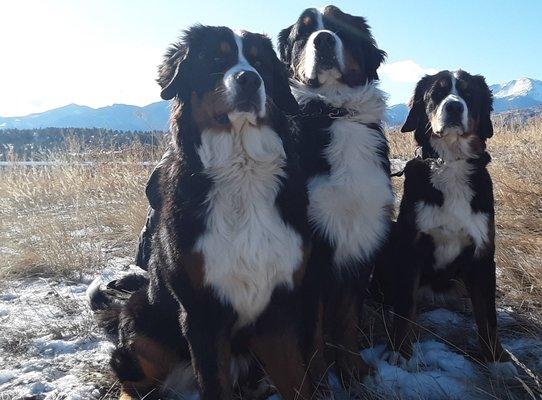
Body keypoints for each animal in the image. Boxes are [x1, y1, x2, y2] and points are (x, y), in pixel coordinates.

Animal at [90, 25, 318, 400]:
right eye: (215, 59)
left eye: (259, 62)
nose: (249, 79)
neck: (241, 170)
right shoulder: (201, 312)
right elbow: (213, 383)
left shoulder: (279, 305)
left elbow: (298, 382)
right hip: (141, 322)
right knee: (132, 383)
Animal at [278, 4, 394, 390]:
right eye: (304, 31)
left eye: (340, 26)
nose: (324, 40)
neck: (336, 111)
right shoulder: (311, 255)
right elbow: (312, 330)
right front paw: (320, 380)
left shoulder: (360, 241)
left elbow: (347, 323)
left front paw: (353, 370)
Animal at [386, 69, 520, 378]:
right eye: (436, 93)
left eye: (468, 94)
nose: (454, 107)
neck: (451, 162)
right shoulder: (411, 248)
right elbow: (405, 306)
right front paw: (399, 352)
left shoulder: (483, 253)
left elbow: (488, 316)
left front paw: (497, 359)